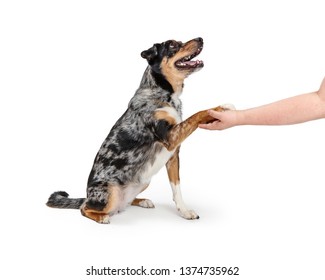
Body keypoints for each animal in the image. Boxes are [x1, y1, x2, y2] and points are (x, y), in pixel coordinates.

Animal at [46, 37, 232, 225]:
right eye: (173, 45)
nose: (200, 38)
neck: (165, 94)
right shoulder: (171, 136)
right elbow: (197, 114)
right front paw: (221, 108)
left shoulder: (173, 154)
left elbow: (177, 188)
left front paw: (184, 211)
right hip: (109, 191)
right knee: (84, 208)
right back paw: (102, 217)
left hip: (143, 180)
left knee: (126, 203)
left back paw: (142, 201)